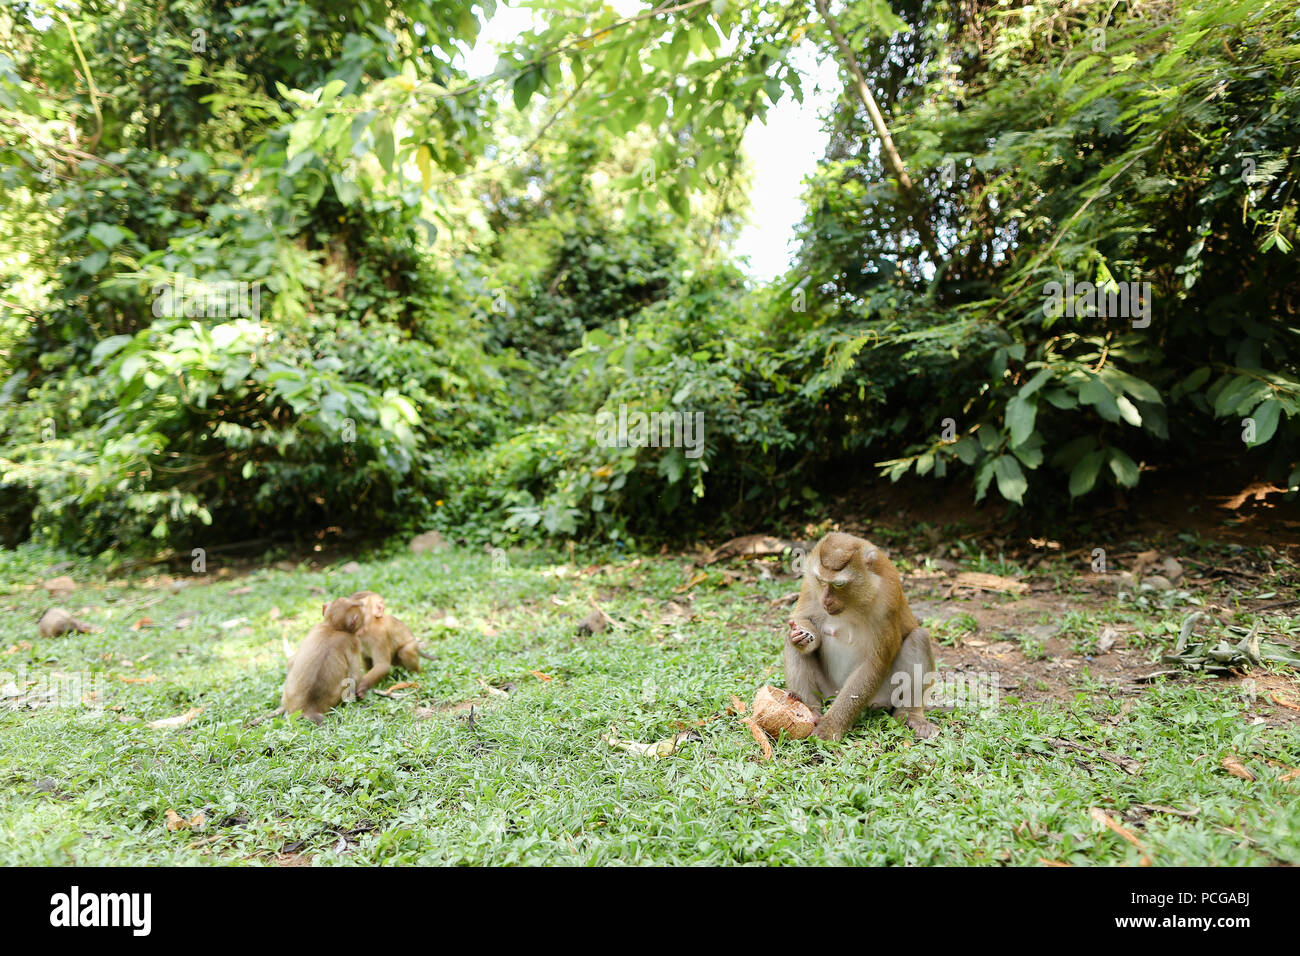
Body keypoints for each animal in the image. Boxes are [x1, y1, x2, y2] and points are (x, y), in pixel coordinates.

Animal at [282, 590, 382, 723]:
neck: (333, 628)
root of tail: (308, 709)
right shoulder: (353, 641)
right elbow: (355, 676)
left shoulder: (314, 628)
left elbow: (291, 662)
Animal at [780, 535, 935, 743]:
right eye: (821, 580)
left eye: (839, 584)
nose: (826, 601)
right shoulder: (810, 585)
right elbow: (801, 619)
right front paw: (801, 637)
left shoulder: (888, 597)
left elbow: (874, 662)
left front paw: (830, 727)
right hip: (826, 690)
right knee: (790, 644)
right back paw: (810, 708)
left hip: (883, 695)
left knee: (919, 638)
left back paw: (911, 716)